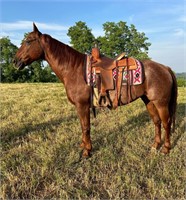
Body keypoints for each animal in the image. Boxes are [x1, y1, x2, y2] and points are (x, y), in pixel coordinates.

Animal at [13, 23, 177, 157]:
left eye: (28, 41)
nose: (15, 61)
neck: (74, 69)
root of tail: (165, 68)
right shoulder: (80, 107)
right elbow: (82, 126)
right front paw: (83, 146)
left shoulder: (83, 105)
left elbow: (86, 127)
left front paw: (87, 151)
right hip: (148, 101)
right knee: (156, 122)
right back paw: (155, 146)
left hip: (161, 103)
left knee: (166, 122)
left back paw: (166, 149)